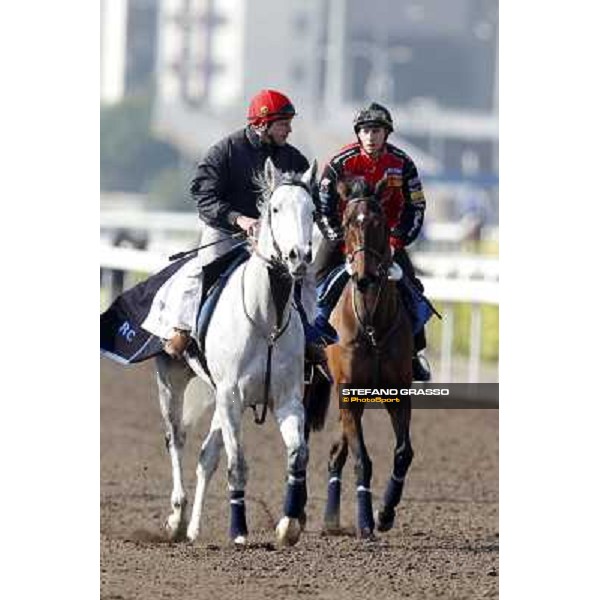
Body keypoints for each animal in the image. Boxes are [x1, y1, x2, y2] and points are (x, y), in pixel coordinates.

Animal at [322, 179, 414, 540]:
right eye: (348, 223)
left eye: (379, 223)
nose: (364, 277)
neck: (372, 324)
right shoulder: (349, 392)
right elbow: (363, 460)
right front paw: (365, 522)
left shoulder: (398, 391)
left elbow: (403, 453)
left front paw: (385, 513)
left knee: (336, 453)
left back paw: (330, 519)